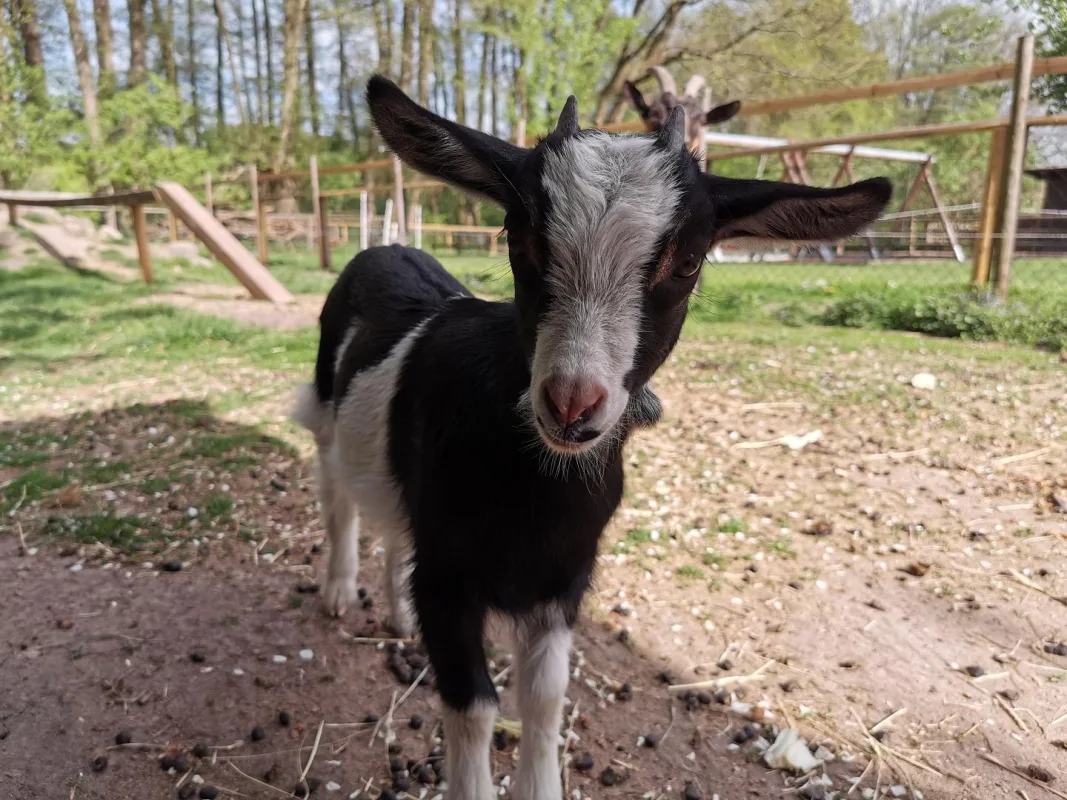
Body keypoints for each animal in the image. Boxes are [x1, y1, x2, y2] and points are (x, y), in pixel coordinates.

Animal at [292, 75, 891, 800]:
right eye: (518, 237)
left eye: (689, 261)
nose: (571, 403)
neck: (534, 485)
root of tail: (385, 248)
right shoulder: (449, 574)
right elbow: (473, 704)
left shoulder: (564, 577)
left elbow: (545, 695)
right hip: (325, 412)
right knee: (338, 501)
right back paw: (337, 592)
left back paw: (396, 613)